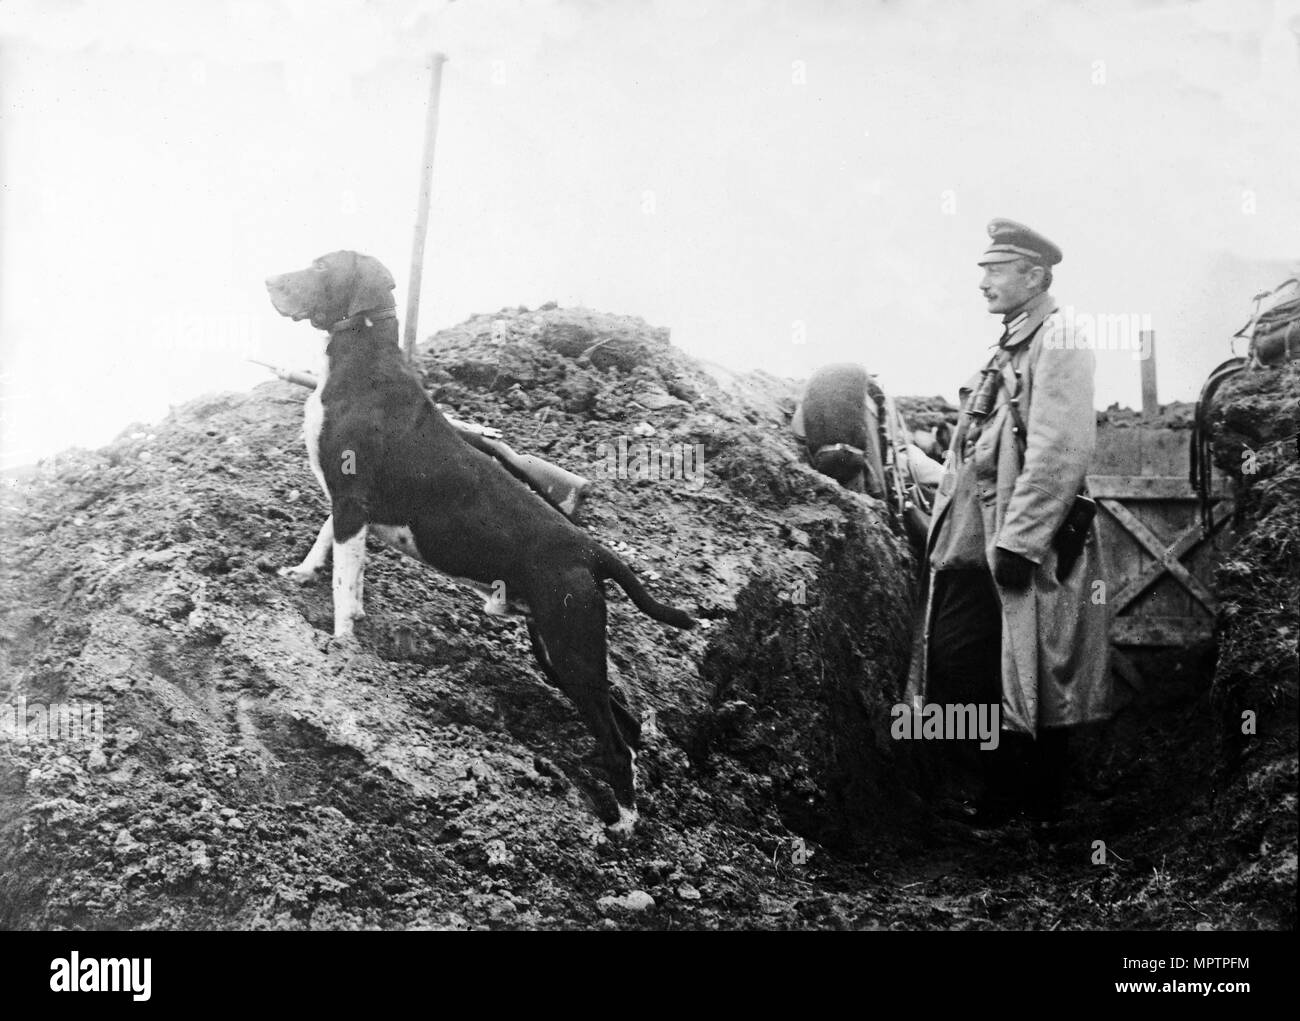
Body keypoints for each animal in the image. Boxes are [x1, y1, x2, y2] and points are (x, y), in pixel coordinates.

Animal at [266, 248, 702, 827]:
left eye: (322, 266)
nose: (268, 280)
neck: (361, 360)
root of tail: (592, 549)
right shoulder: (345, 503)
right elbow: (326, 547)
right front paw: (301, 574)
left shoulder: (352, 500)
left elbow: (344, 584)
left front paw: (340, 641)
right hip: (557, 650)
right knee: (626, 728)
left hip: (571, 649)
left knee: (614, 741)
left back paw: (621, 825)